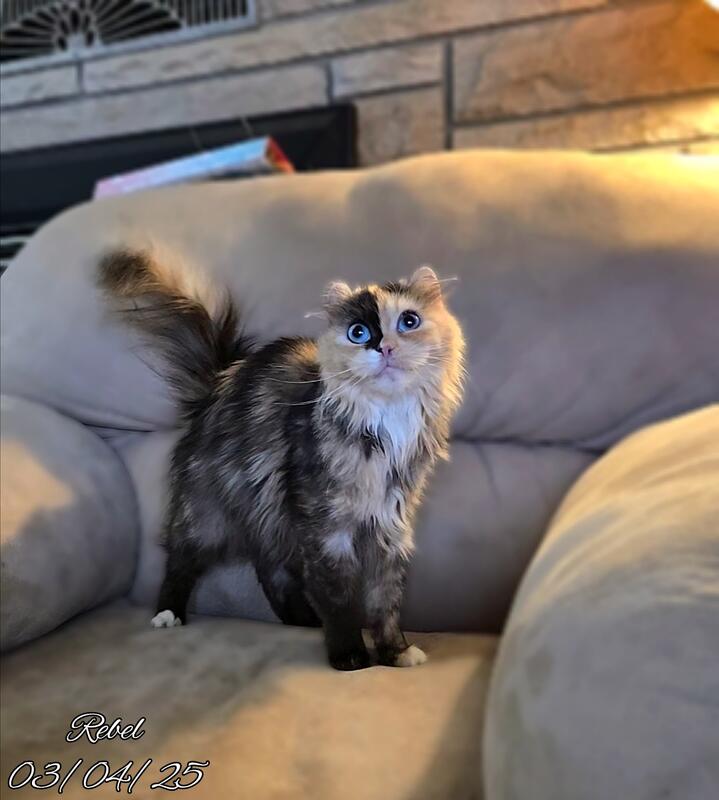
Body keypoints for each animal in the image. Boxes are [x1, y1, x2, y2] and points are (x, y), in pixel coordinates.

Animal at [98, 250, 465, 670]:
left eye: (409, 321)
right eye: (358, 332)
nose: (384, 348)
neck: (384, 422)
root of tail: (220, 381)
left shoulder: (388, 527)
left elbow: (384, 601)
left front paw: (396, 652)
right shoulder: (325, 529)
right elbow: (339, 600)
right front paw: (350, 655)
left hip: (269, 515)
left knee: (272, 572)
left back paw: (304, 621)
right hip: (208, 513)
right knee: (181, 560)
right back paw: (168, 614)